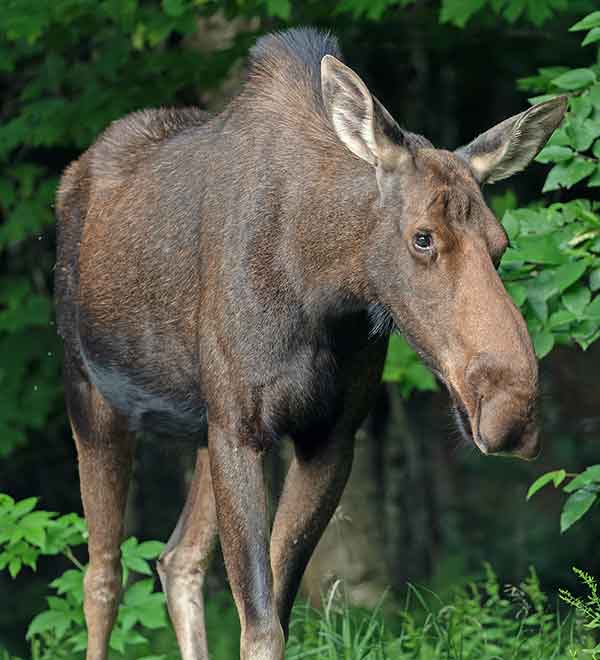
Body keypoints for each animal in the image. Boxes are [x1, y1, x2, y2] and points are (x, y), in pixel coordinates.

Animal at [55, 27, 568, 660]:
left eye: (500, 245)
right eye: (422, 237)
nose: (511, 414)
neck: (320, 284)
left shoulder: (328, 437)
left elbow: (275, 606)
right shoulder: (240, 430)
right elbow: (259, 625)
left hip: (200, 428)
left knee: (178, 559)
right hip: (92, 397)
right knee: (102, 577)